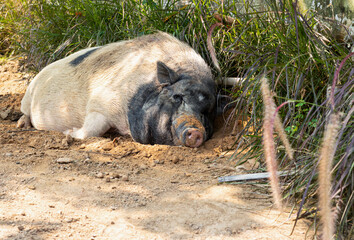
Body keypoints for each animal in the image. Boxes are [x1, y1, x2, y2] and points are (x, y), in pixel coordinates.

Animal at [18, 31, 217, 148]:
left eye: (206, 112)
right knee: (24, 112)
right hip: (27, 97)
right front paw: (69, 132)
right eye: (177, 96)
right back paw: (22, 125)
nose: (196, 131)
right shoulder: (100, 104)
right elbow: (91, 130)